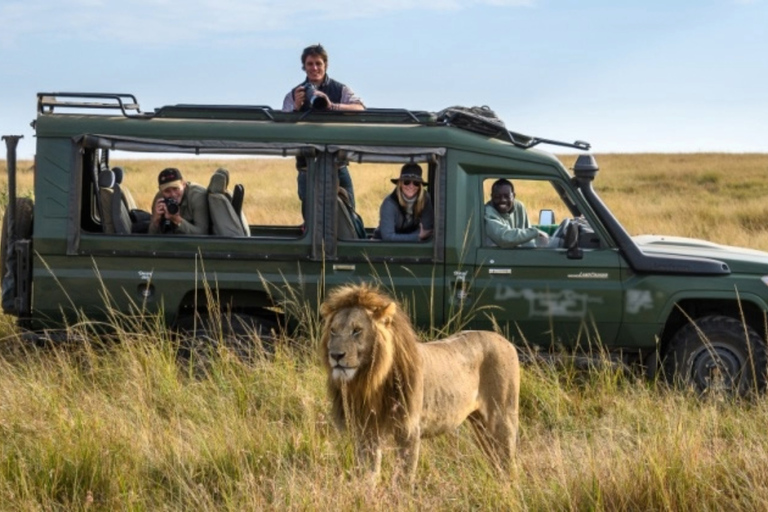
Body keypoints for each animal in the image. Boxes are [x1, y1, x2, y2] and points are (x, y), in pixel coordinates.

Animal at [318, 282, 520, 482]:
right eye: (333, 330)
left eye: (357, 330)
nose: (335, 355)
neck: (369, 381)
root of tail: (506, 341)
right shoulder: (366, 432)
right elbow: (368, 475)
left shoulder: (408, 432)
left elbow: (402, 480)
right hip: (480, 425)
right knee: (496, 462)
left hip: (502, 419)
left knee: (508, 464)